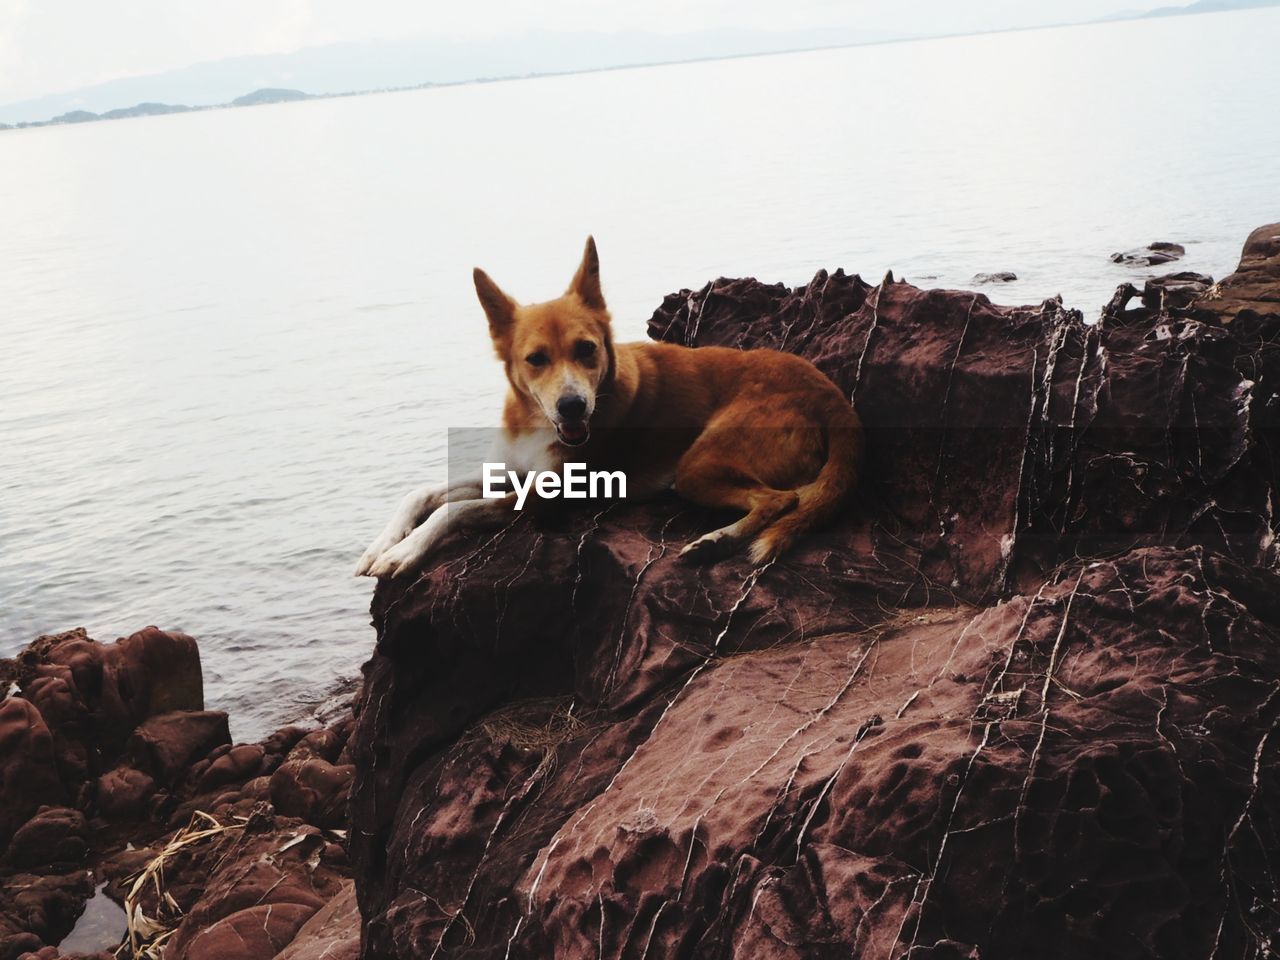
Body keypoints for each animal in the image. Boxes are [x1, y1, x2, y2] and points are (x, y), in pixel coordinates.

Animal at [355, 239, 865, 583]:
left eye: (587, 349)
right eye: (535, 359)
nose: (572, 405)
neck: (536, 422)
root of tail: (832, 394)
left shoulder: (540, 498)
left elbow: (451, 510)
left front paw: (404, 553)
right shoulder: (509, 472)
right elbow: (422, 493)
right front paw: (382, 543)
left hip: (698, 463)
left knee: (782, 499)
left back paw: (717, 541)